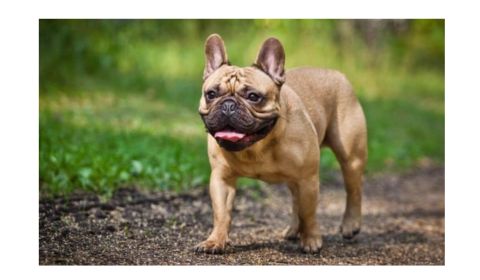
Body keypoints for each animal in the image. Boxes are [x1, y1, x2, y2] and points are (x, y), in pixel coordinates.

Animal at [195, 33, 368, 254]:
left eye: (253, 96)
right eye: (211, 94)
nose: (228, 105)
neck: (256, 147)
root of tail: (337, 74)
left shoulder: (308, 179)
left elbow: (308, 212)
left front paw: (311, 240)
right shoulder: (221, 179)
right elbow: (221, 213)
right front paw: (215, 240)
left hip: (350, 157)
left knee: (353, 189)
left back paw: (350, 225)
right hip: (294, 178)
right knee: (295, 200)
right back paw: (293, 230)